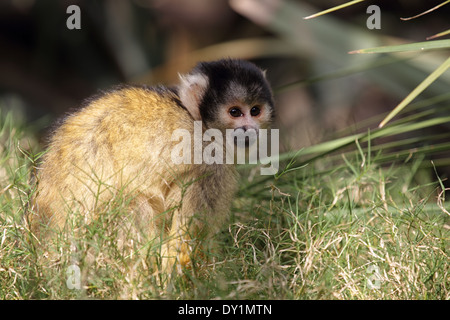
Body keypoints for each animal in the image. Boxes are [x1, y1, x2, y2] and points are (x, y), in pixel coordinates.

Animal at [30, 59, 274, 276]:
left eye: (255, 111)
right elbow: (183, 243)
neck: (197, 121)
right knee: (134, 203)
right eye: (235, 112)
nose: (249, 129)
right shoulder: (213, 164)